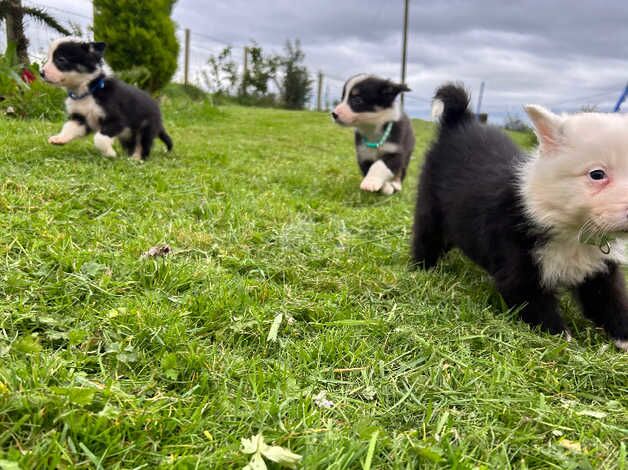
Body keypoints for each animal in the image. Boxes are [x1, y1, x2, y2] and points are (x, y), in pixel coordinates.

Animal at [41, 37, 172, 162]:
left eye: (60, 59)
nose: (41, 73)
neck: (89, 91)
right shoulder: (80, 118)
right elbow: (69, 127)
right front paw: (59, 138)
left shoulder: (117, 120)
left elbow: (99, 138)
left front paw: (110, 153)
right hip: (129, 135)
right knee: (132, 145)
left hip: (146, 129)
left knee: (143, 146)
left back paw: (136, 159)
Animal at [412, 83, 628, 348]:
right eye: (597, 174)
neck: (570, 231)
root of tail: (460, 121)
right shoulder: (517, 262)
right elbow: (535, 304)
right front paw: (561, 339)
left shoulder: (598, 269)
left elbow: (610, 301)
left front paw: (624, 337)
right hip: (430, 205)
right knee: (426, 237)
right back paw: (422, 268)